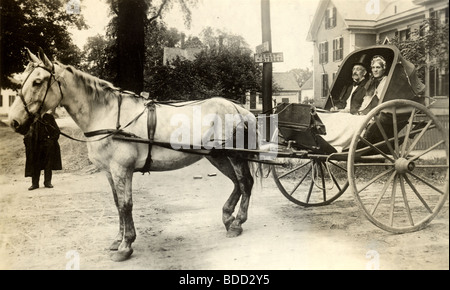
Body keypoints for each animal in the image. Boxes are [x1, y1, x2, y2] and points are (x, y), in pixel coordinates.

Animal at [7, 48, 260, 262]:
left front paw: (126, 246)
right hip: (217, 156)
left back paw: (237, 223)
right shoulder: (109, 172)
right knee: (237, 183)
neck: (106, 114)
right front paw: (118, 240)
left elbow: (126, 204)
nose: (14, 122)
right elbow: (117, 203)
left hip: (235, 155)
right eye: (23, 81)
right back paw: (228, 217)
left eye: (37, 82)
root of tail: (240, 108)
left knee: (245, 182)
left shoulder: (122, 169)